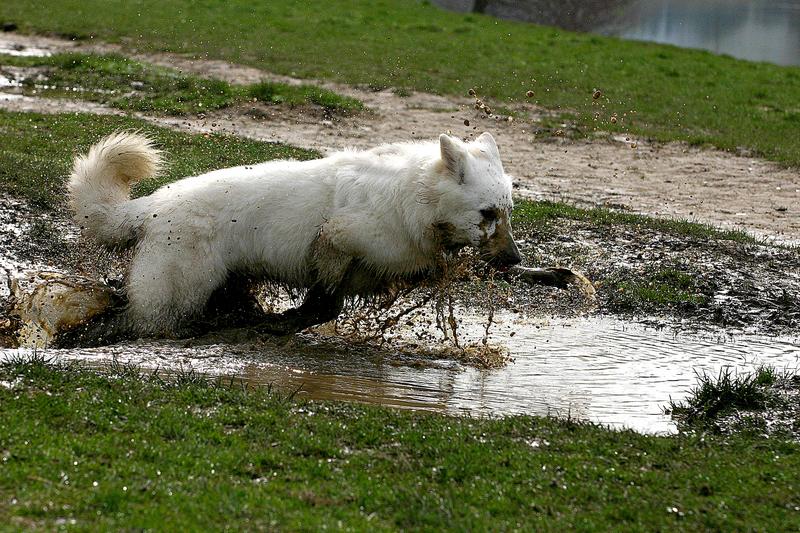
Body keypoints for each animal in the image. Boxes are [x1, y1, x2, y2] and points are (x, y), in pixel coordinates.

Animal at [65, 131, 520, 338]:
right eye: (487, 214)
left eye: (508, 213)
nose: (516, 261)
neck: (417, 197)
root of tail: (153, 204)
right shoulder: (337, 238)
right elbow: (323, 298)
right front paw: (287, 322)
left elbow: (327, 306)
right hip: (175, 294)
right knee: (136, 318)